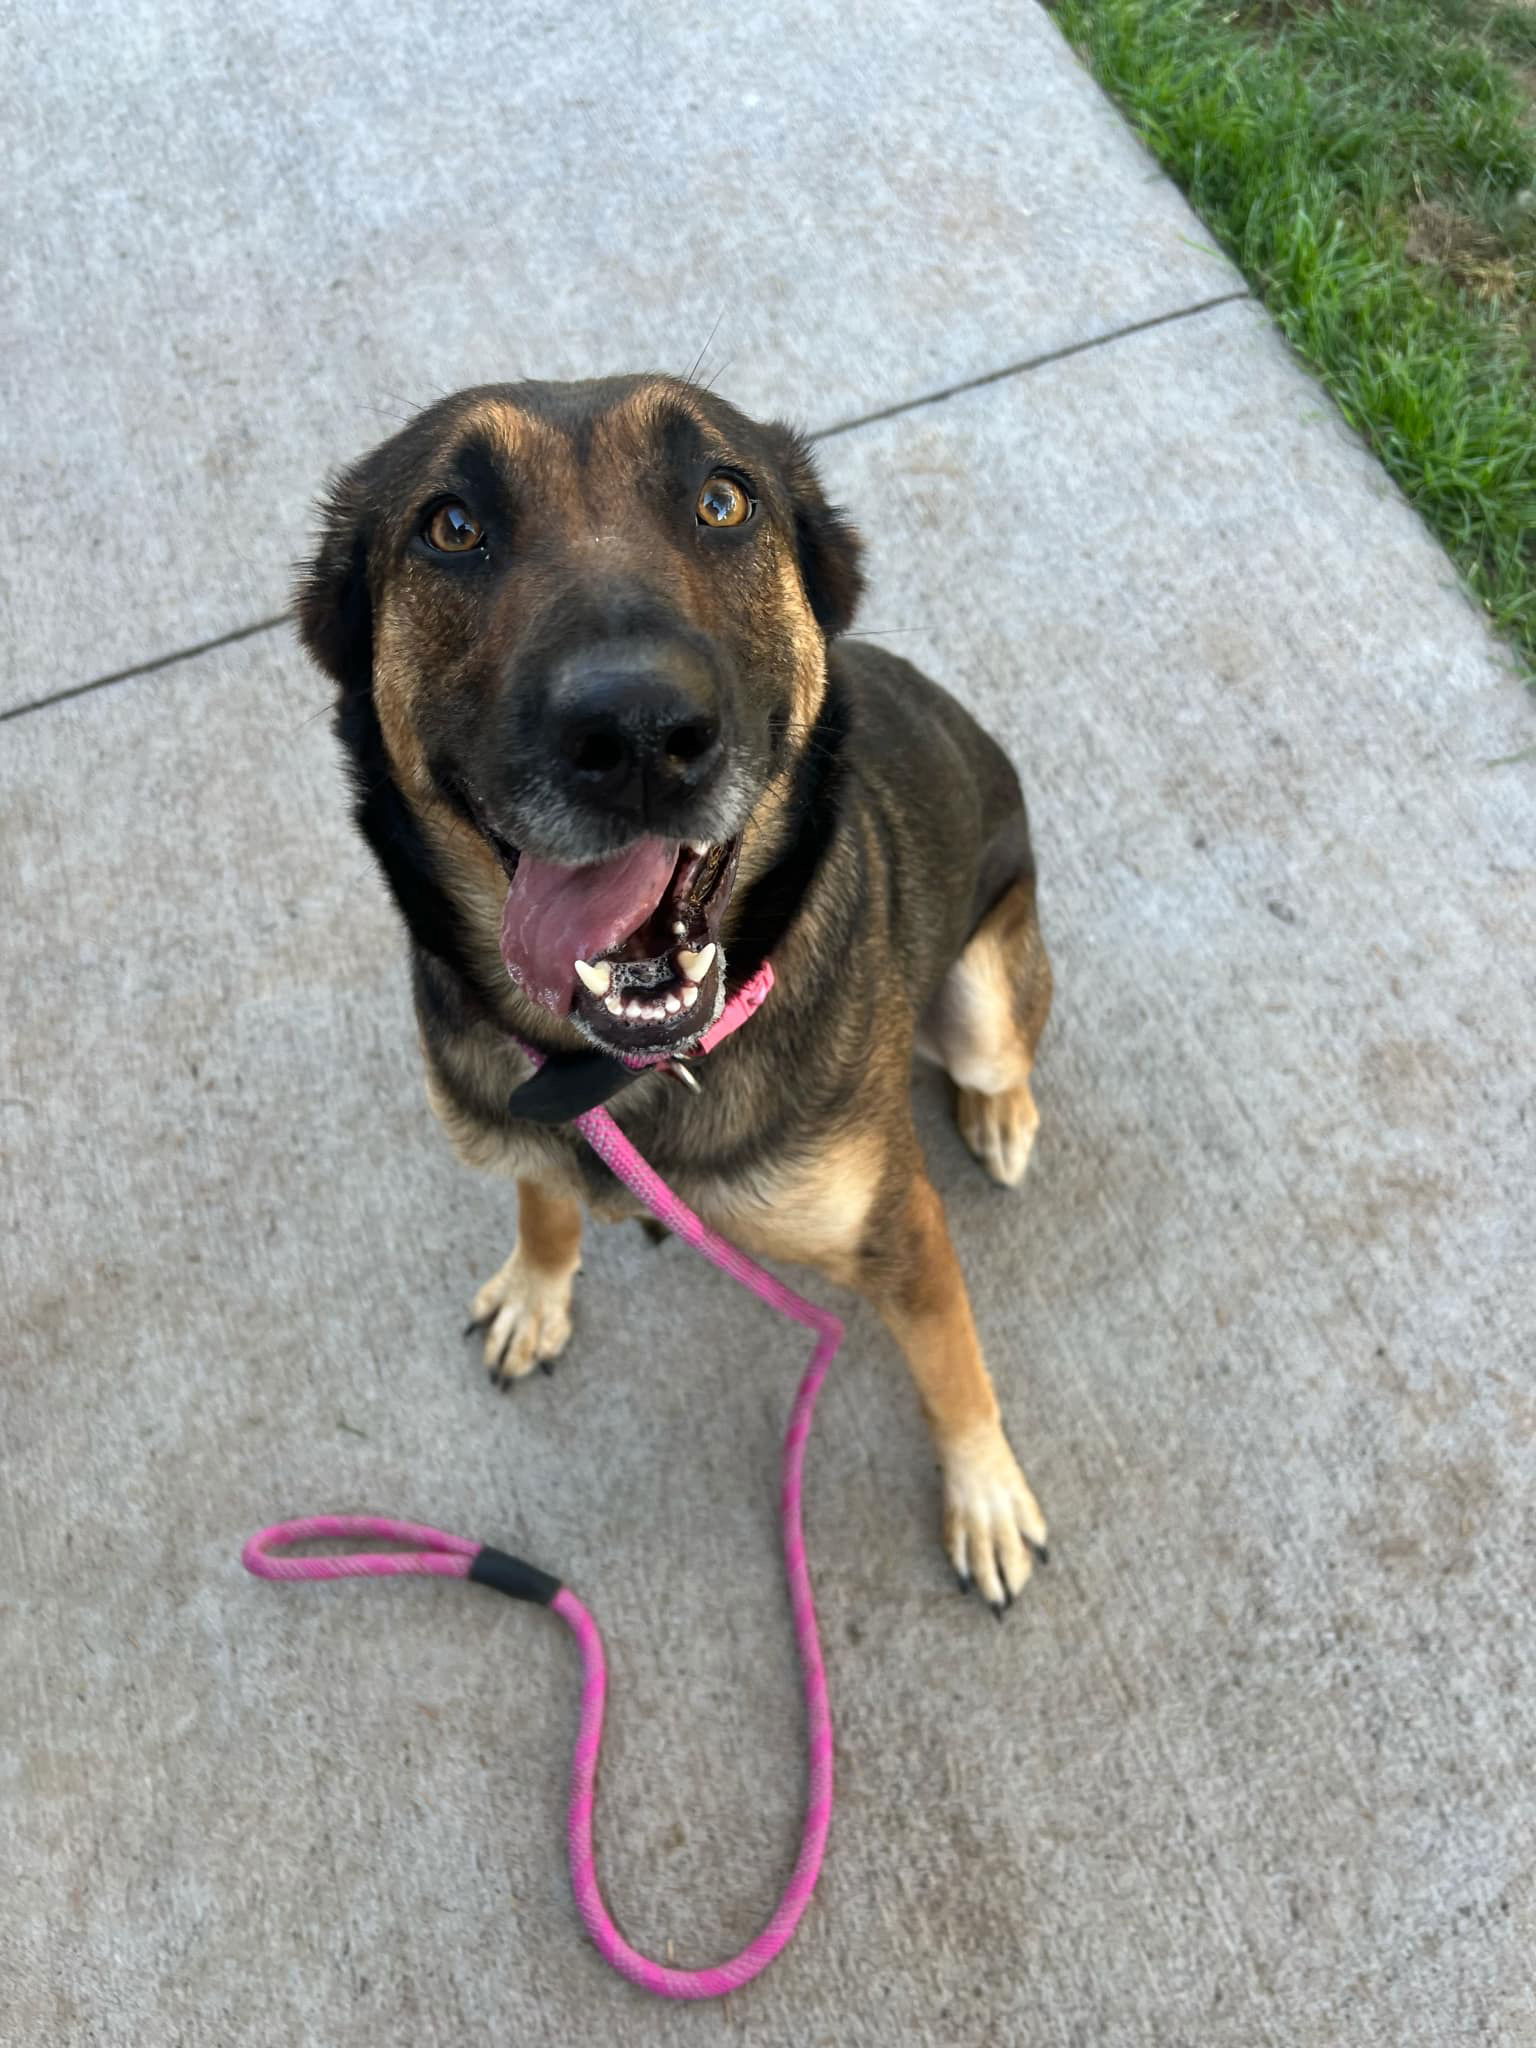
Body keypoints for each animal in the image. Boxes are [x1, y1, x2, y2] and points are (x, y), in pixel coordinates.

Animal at [294, 372, 1056, 1613]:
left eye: (722, 499)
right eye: (450, 525)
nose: (639, 732)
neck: (625, 1070)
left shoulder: (901, 1228)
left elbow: (953, 1366)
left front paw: (984, 1489)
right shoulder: (534, 1129)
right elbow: (544, 1199)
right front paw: (538, 1284)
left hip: (987, 995)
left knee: (1003, 1054)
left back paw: (999, 1112)